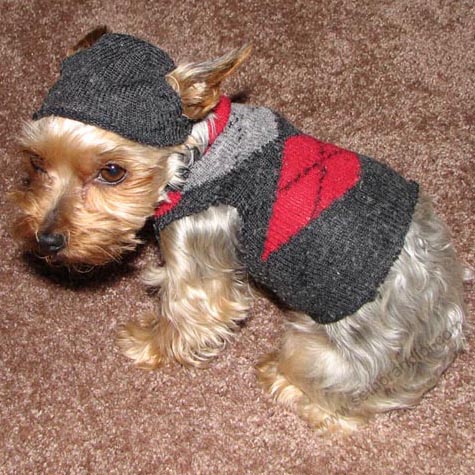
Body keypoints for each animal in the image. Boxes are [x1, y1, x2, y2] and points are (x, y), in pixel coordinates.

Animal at [13, 27, 466, 434]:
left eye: (112, 171)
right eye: (36, 162)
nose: (47, 240)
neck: (198, 151)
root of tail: (445, 335)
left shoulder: (198, 244)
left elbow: (189, 310)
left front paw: (149, 343)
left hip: (318, 353)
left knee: (339, 410)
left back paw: (280, 377)